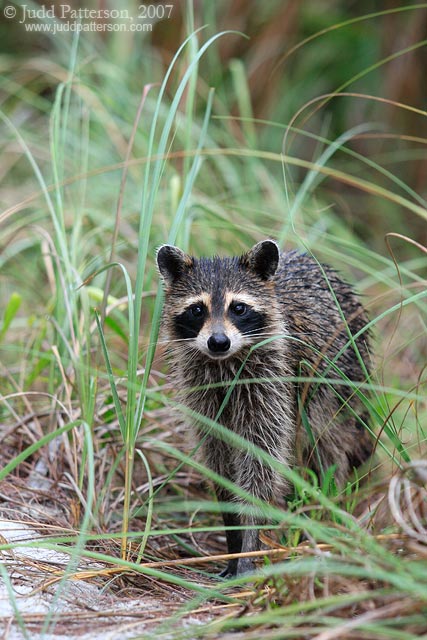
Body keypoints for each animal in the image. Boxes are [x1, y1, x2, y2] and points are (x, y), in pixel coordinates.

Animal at [156, 239, 372, 577]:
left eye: (238, 308)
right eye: (197, 309)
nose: (218, 342)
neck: (225, 363)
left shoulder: (271, 383)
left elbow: (261, 462)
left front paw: (249, 545)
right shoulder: (202, 394)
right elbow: (218, 458)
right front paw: (233, 536)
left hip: (339, 379)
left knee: (327, 445)